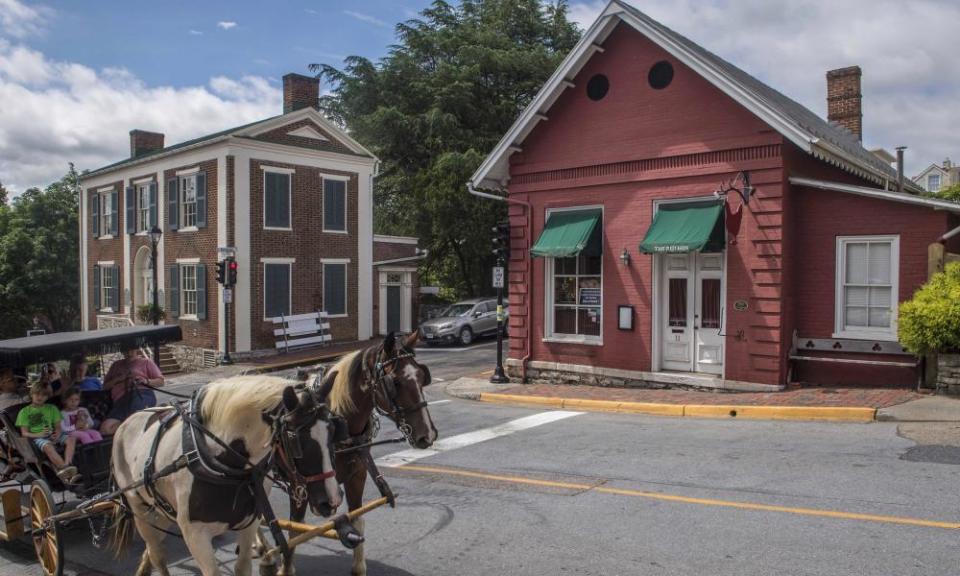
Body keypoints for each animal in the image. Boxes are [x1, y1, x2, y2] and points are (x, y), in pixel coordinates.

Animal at [112, 376, 342, 576]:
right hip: (140, 510)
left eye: (333, 430)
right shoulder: (194, 535)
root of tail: (125, 423)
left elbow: (242, 567)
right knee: (157, 554)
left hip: (162, 511)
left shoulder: (249, 521)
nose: (331, 501)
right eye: (295, 440)